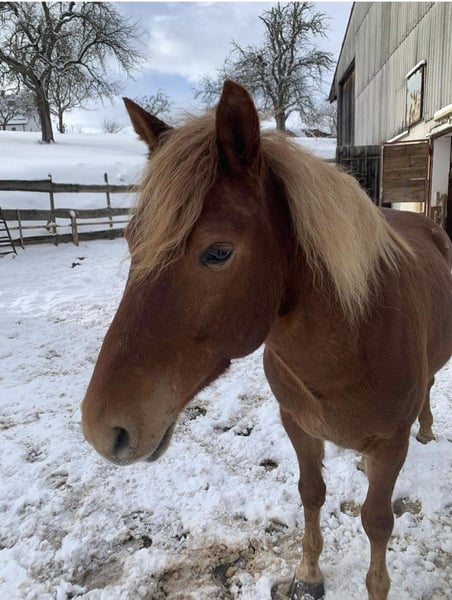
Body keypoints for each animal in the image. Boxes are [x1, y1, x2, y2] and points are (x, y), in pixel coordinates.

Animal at [81, 81, 452, 600]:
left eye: (218, 252)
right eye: (132, 240)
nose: (101, 429)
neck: (348, 348)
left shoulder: (390, 444)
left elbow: (377, 523)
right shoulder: (297, 425)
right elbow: (311, 494)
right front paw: (309, 573)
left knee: (431, 387)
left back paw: (428, 427)